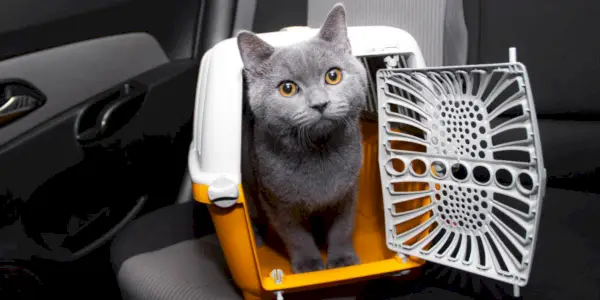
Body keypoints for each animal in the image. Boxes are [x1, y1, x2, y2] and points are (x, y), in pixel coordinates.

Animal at [237, 2, 368, 274]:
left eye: (333, 76)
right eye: (287, 88)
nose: (320, 103)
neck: (319, 152)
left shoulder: (348, 192)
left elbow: (343, 228)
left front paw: (342, 260)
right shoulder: (276, 202)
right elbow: (295, 236)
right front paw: (309, 265)